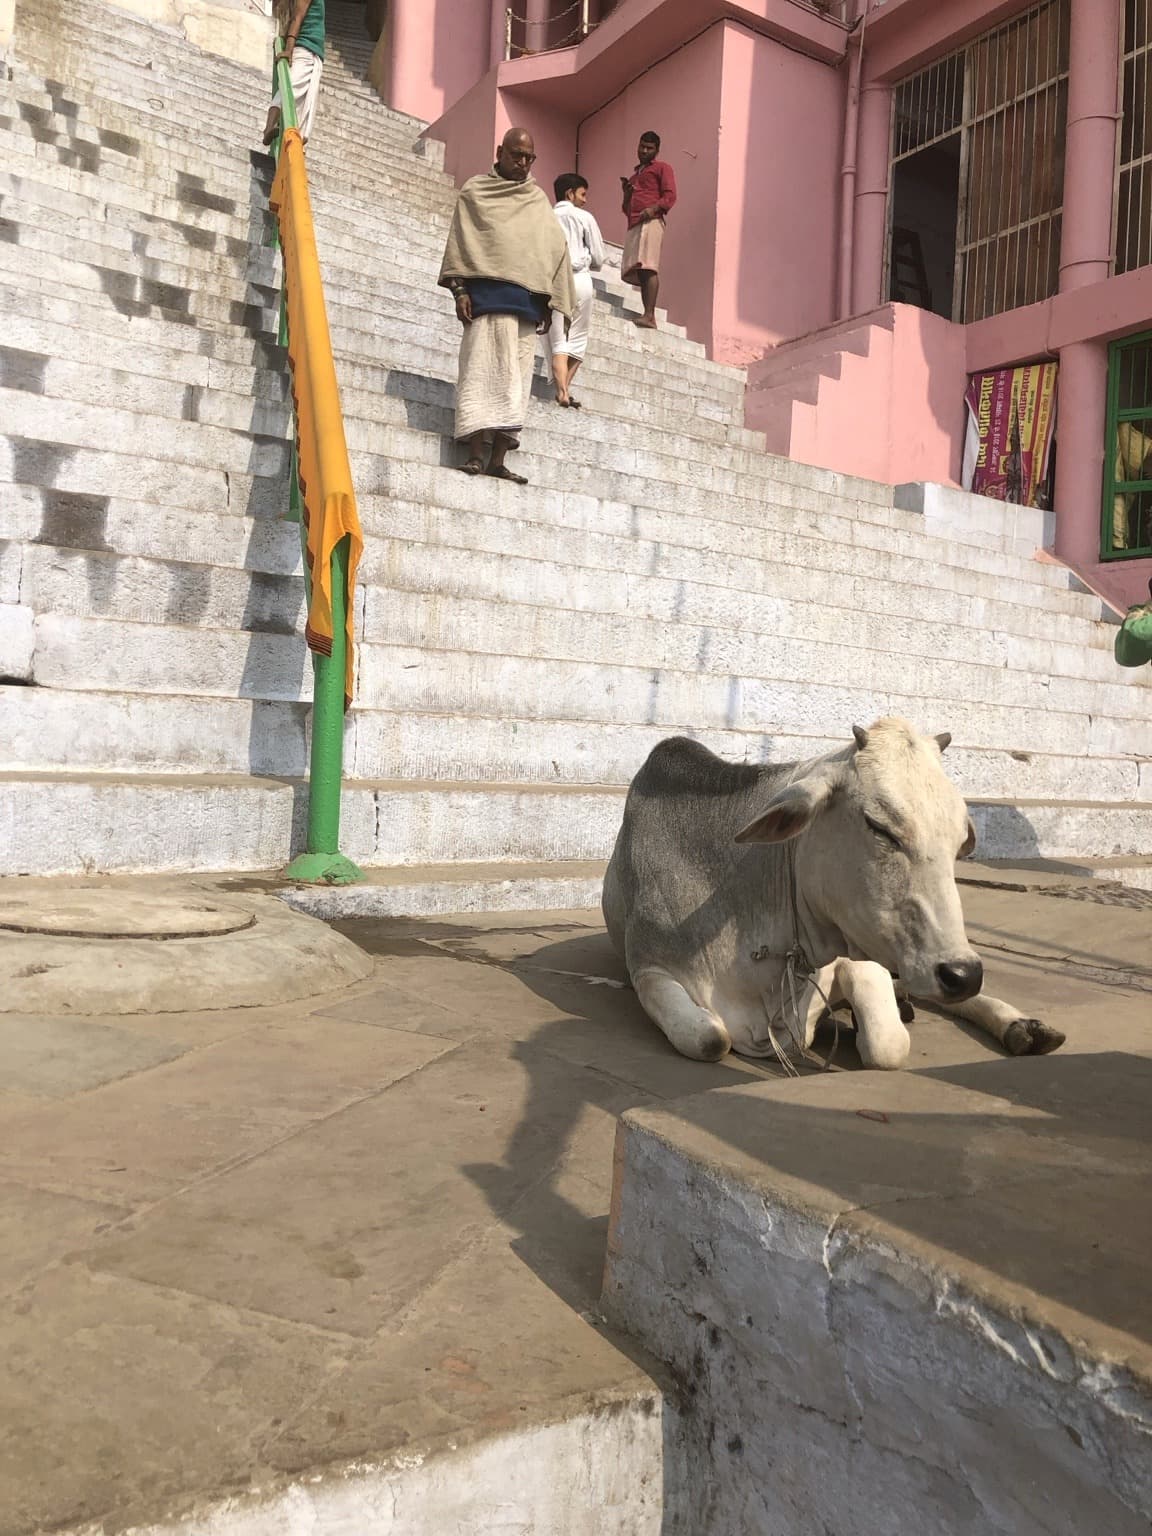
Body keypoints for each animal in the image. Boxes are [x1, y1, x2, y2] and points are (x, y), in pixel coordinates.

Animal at [602, 718, 1065, 1070]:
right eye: (879, 827)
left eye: (958, 841)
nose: (962, 973)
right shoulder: (650, 969)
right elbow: (709, 1039)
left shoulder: (857, 951)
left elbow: (886, 1045)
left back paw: (1024, 1028)